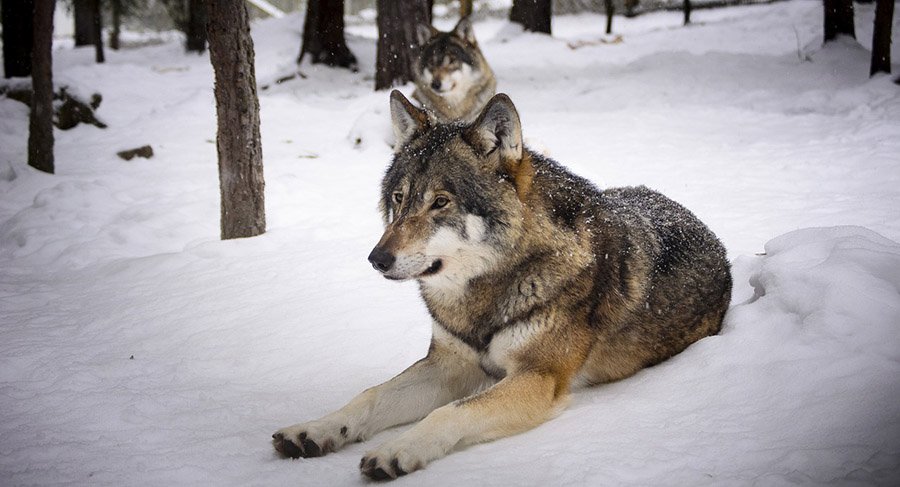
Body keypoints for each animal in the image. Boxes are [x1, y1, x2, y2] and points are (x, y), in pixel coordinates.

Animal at [273, 91, 733, 480]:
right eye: (400, 198)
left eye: (441, 202)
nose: (377, 259)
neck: (487, 289)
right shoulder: (449, 365)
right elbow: (370, 395)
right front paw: (314, 430)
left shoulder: (538, 378)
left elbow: (449, 413)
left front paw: (396, 450)